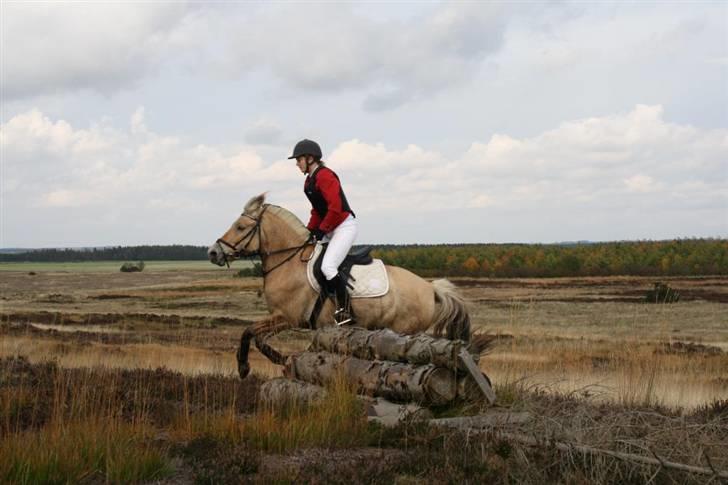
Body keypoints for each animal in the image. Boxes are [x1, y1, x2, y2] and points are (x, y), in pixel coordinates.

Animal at [208, 193, 474, 378]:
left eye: (240, 227)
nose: (213, 252)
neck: (289, 262)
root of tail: (430, 288)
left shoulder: (287, 318)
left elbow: (249, 332)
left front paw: (245, 367)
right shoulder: (281, 318)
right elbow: (258, 339)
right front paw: (281, 359)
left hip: (405, 330)